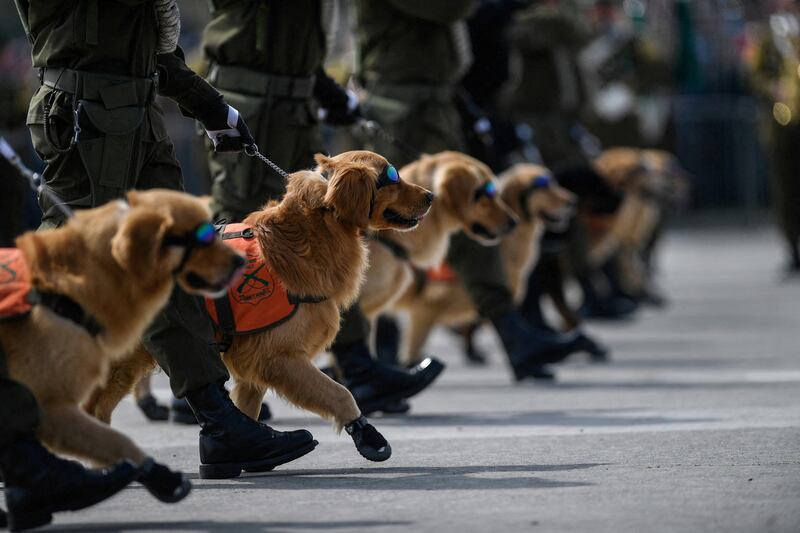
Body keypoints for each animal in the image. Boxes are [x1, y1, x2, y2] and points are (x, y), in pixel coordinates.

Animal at [86, 149, 434, 466]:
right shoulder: (277, 357)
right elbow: (340, 393)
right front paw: (368, 435)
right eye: (392, 177)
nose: (431, 196)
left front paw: (248, 448)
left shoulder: (254, 367)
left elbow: (246, 410)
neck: (313, 233)